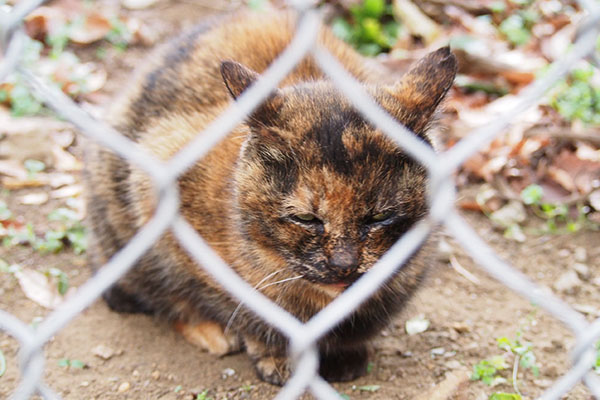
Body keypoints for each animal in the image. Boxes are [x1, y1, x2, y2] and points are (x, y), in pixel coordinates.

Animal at [84, 10, 458, 384]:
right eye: (305, 218)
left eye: (380, 217)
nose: (344, 265)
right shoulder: (159, 190)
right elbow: (228, 301)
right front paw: (274, 353)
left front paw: (346, 353)